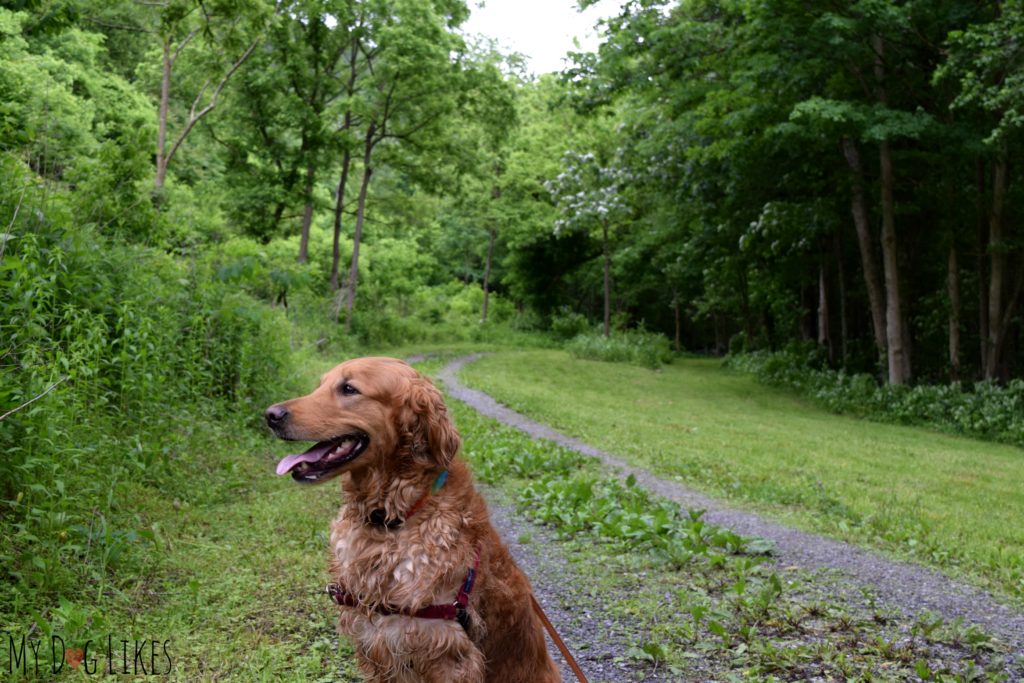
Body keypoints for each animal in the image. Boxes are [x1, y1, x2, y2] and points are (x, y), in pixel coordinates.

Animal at [260, 358, 557, 683]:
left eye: (349, 388)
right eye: (320, 385)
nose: (270, 415)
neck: (390, 519)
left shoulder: (445, 651)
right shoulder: (376, 641)